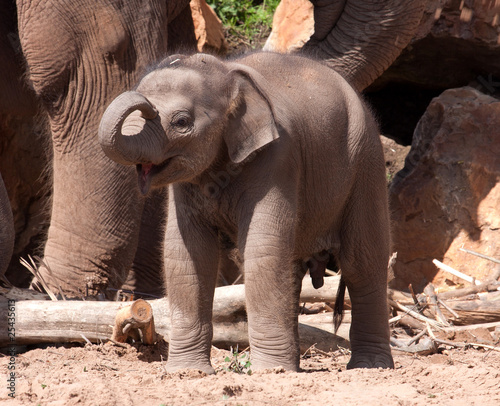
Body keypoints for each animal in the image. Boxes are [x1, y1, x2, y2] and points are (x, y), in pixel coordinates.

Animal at [98, 52, 394, 372]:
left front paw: (267, 371)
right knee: (294, 269)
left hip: (366, 162)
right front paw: (189, 372)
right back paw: (293, 366)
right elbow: (186, 254)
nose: (143, 102)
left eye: (181, 121)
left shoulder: (278, 158)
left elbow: (262, 248)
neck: (229, 75)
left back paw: (370, 366)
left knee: (362, 263)